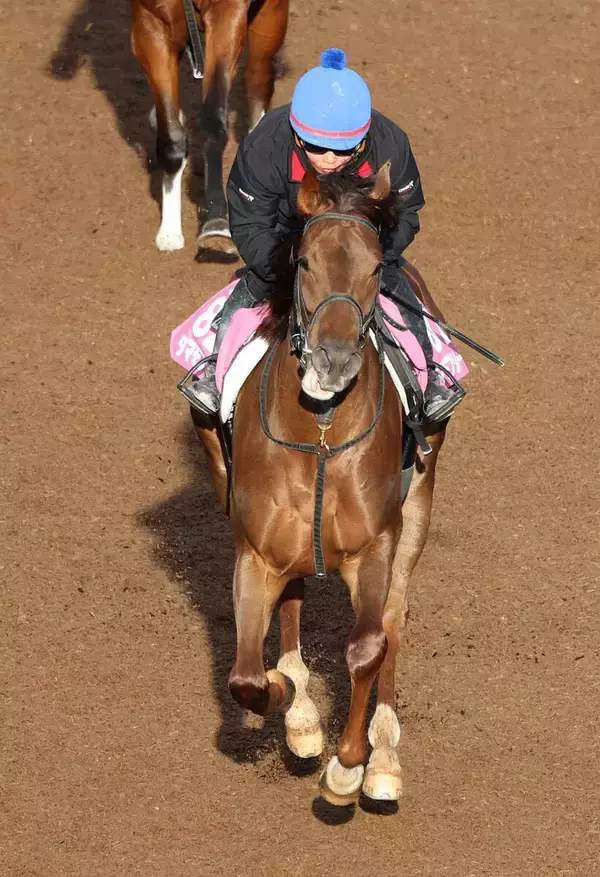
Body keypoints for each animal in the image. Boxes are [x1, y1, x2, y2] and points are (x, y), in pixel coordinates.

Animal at [130, 0, 288, 256]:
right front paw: (170, 230)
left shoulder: (228, 13)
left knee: (258, 77)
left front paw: (216, 224)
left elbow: (214, 122)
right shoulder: (149, 21)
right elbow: (171, 135)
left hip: (271, 21)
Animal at [191, 164, 447, 805]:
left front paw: (350, 766)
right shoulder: (256, 552)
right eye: (304, 262)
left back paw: (383, 757)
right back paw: (301, 711)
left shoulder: (377, 545)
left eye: (375, 267)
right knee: (292, 604)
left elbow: (368, 646)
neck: (323, 435)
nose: (333, 361)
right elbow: (246, 677)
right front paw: (288, 700)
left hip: (419, 506)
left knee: (392, 622)